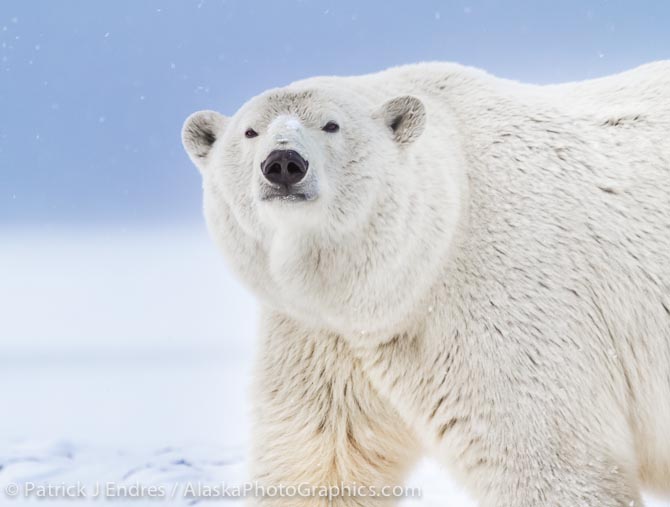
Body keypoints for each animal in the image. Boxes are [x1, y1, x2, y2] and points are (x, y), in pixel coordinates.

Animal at [182, 61, 670, 506]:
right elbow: (318, 459)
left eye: (331, 124)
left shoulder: (509, 310)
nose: (283, 163)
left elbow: (549, 465)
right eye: (250, 132)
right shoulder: (319, 335)